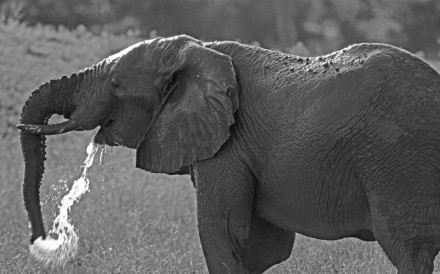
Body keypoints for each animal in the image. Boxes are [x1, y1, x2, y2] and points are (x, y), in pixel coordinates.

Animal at [17, 34, 440, 274]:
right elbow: (260, 247)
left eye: (116, 84)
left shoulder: (228, 147)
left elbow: (223, 230)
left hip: (397, 160)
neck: (197, 53)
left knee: (408, 251)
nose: (44, 242)